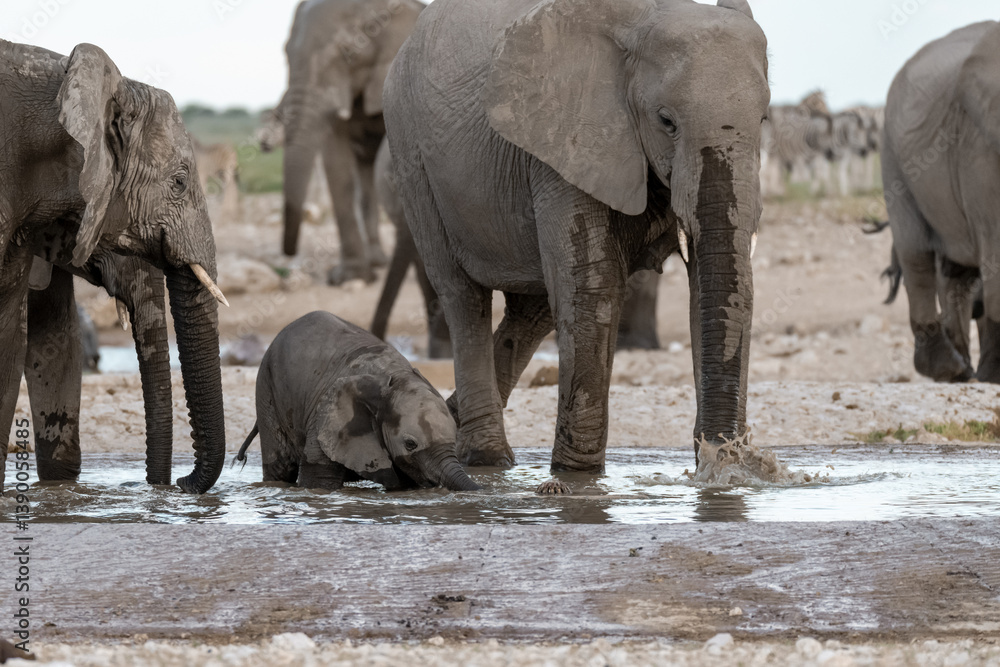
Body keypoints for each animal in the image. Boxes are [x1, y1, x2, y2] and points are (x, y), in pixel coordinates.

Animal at [234, 311, 480, 492]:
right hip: (266, 389)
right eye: (410, 444)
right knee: (280, 466)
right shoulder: (325, 420)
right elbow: (319, 480)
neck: (395, 376)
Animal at [278, 0, 424, 284]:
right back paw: (378, 262)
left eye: (348, 52)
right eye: (286, 55)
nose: (288, 254)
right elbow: (336, 161)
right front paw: (349, 277)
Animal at [384, 0, 768, 472]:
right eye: (666, 121)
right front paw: (577, 474)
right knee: (463, 296)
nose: (722, 451)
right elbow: (592, 285)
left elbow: (707, 285)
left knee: (533, 310)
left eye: (765, 119)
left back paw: (450, 419)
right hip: (411, 156)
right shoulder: (565, 140)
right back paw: (489, 458)